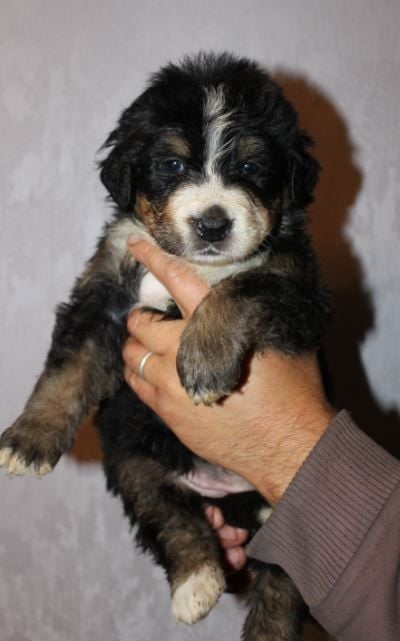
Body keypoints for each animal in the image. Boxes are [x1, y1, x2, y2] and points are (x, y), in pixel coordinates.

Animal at [0, 53, 330, 640]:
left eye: (251, 167)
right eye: (172, 165)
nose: (212, 224)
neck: (192, 266)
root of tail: (225, 493)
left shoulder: (300, 292)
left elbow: (243, 286)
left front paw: (204, 359)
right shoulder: (106, 294)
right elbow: (66, 370)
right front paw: (28, 440)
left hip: (293, 498)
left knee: (283, 581)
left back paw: (263, 628)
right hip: (132, 460)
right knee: (172, 519)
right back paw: (195, 585)